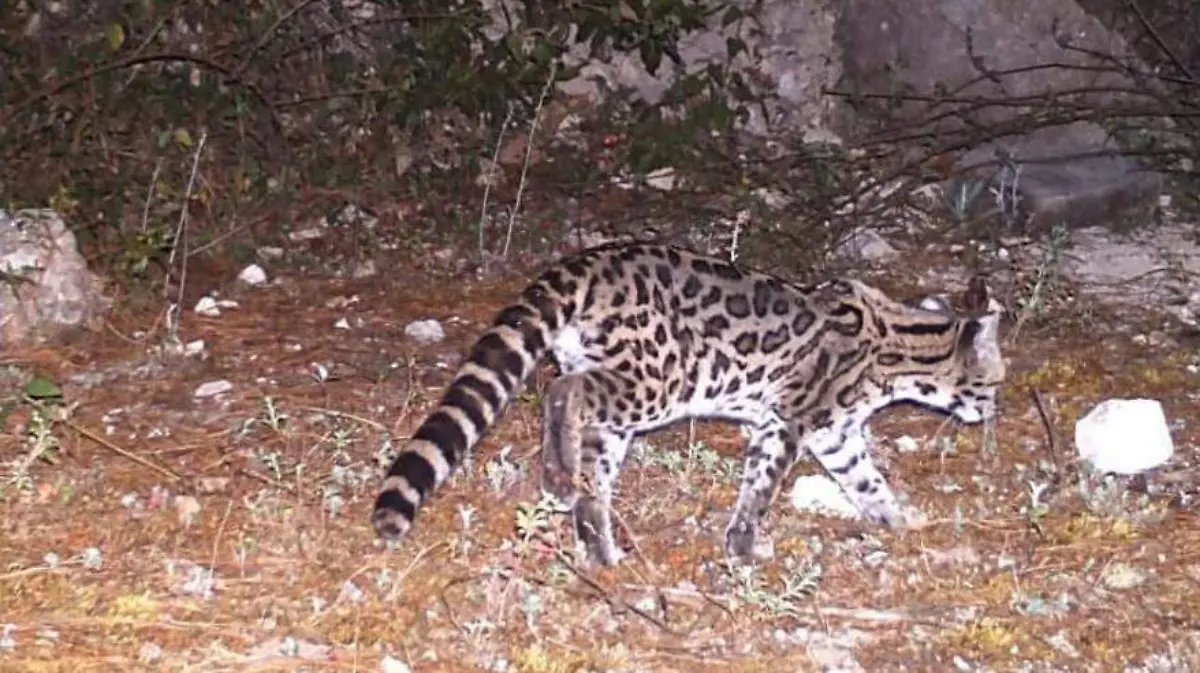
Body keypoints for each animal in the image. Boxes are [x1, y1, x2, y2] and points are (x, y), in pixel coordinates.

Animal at [372, 243, 1006, 565]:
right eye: (994, 382)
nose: (992, 412)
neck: (899, 342)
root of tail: (583, 262)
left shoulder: (832, 434)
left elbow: (865, 479)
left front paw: (894, 519)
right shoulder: (791, 421)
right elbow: (762, 488)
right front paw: (744, 545)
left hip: (617, 394)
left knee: (589, 463)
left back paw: (589, 527)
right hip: (659, 381)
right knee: (561, 392)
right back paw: (567, 488)